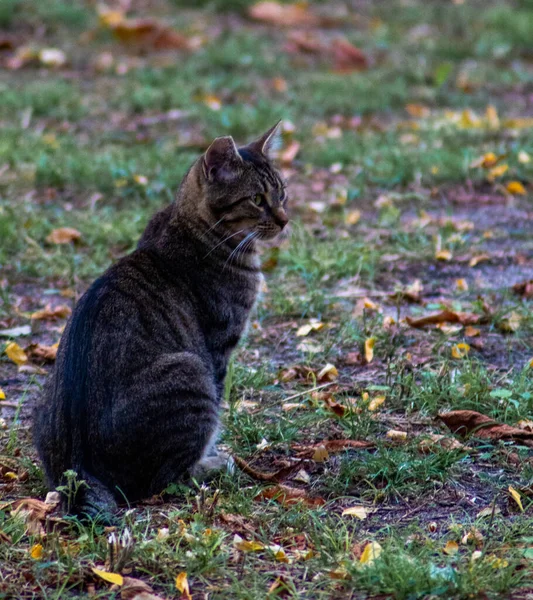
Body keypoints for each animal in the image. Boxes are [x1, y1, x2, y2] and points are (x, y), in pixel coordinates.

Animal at [31, 124, 288, 516]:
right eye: (258, 199)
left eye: (282, 192)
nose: (285, 220)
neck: (187, 223)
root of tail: (80, 470)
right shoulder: (218, 350)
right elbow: (217, 409)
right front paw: (213, 453)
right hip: (189, 369)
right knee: (164, 479)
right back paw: (212, 465)